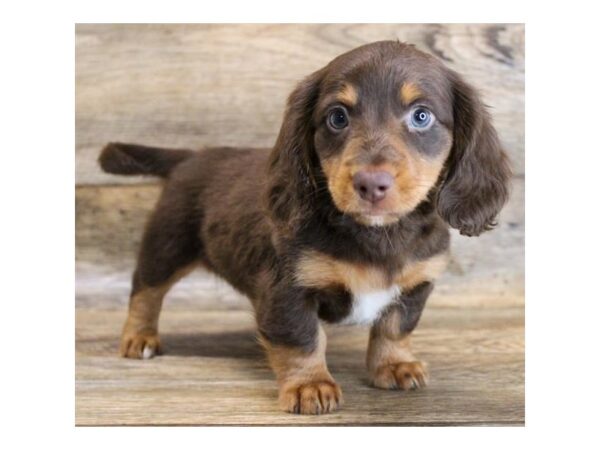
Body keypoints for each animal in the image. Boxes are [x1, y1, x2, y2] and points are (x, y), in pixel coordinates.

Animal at [99, 41, 510, 414]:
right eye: (337, 117)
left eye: (421, 116)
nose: (371, 184)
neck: (378, 234)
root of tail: (190, 156)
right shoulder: (287, 289)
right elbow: (302, 339)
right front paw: (309, 386)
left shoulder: (415, 285)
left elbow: (395, 327)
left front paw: (394, 365)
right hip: (167, 245)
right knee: (145, 291)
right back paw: (139, 338)